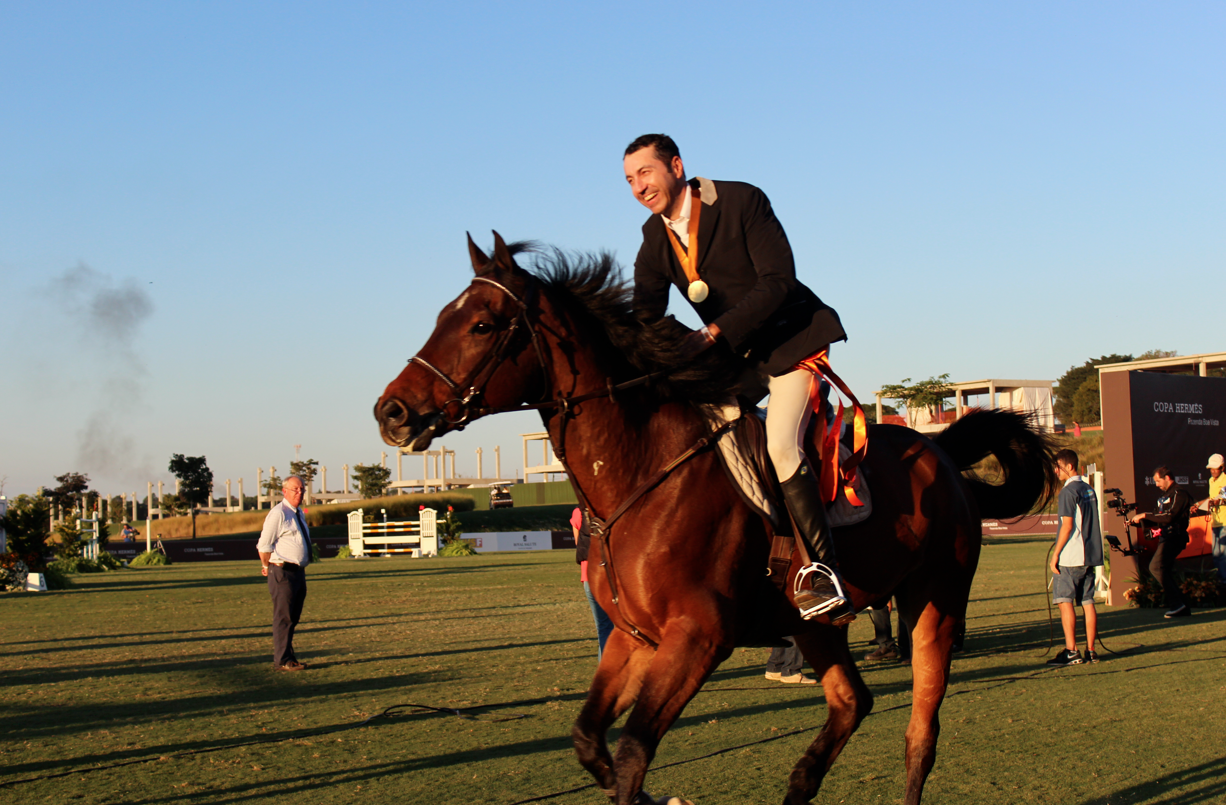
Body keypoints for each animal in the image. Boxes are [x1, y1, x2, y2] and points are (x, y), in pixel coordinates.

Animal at [372, 234, 1054, 803]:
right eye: (442, 319)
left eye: (482, 325)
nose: (391, 412)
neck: (640, 472)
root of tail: (938, 450)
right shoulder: (634, 639)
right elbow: (590, 740)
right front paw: (655, 796)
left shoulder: (697, 638)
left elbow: (631, 754)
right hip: (812, 623)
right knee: (851, 703)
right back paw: (800, 784)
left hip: (933, 605)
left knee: (920, 734)